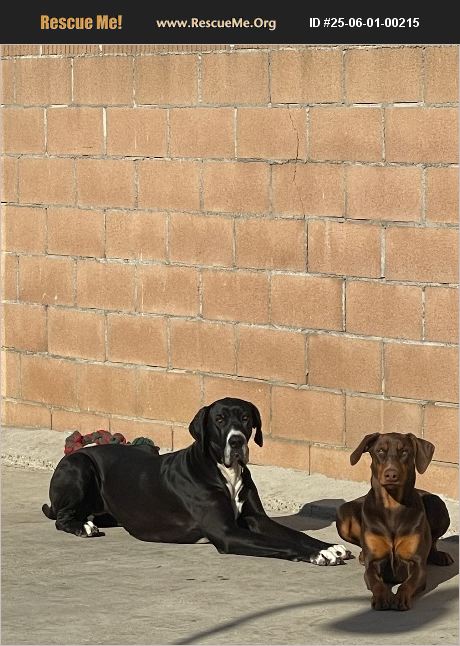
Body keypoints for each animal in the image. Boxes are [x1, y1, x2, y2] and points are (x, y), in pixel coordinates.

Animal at [43, 397, 351, 565]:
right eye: (220, 419)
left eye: (245, 418)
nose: (236, 441)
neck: (225, 471)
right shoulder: (227, 532)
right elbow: (282, 543)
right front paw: (317, 555)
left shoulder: (257, 519)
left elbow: (295, 534)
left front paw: (327, 546)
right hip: (79, 465)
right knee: (61, 517)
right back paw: (82, 526)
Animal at [336, 432, 453, 610]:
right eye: (380, 451)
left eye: (404, 451)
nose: (391, 474)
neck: (392, 507)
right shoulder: (374, 563)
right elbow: (376, 582)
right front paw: (382, 597)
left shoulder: (416, 564)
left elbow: (407, 584)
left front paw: (400, 598)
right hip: (343, 513)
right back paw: (362, 555)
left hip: (437, 503)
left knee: (432, 542)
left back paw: (439, 556)